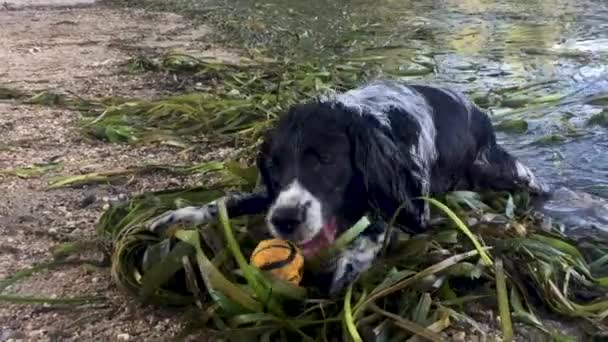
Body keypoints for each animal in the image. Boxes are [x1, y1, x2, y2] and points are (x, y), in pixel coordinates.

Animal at [148, 80, 552, 296]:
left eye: (325, 160)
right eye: (273, 165)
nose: (286, 221)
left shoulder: (414, 207)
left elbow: (378, 222)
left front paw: (351, 261)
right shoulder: (268, 195)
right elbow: (228, 200)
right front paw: (180, 215)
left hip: (498, 169)